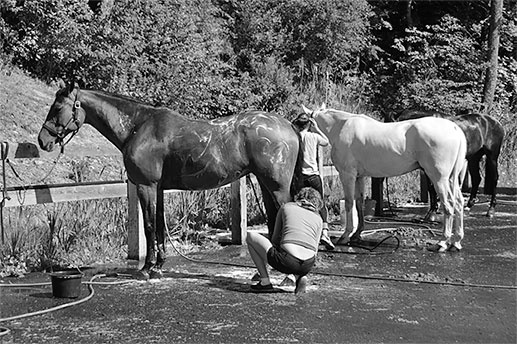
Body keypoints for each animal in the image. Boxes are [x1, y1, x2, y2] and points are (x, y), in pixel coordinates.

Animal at [39, 80, 302, 276]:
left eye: (58, 108)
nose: (43, 140)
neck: (138, 126)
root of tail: (288, 125)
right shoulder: (158, 189)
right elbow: (158, 227)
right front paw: (159, 264)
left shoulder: (146, 186)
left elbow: (148, 225)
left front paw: (147, 268)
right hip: (266, 185)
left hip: (276, 187)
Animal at [302, 103, 468, 251]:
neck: (341, 127)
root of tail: (454, 129)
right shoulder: (359, 177)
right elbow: (359, 203)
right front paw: (357, 234)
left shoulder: (347, 175)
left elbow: (349, 203)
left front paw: (346, 235)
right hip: (450, 179)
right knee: (459, 203)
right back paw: (456, 241)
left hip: (439, 179)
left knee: (448, 205)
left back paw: (442, 242)